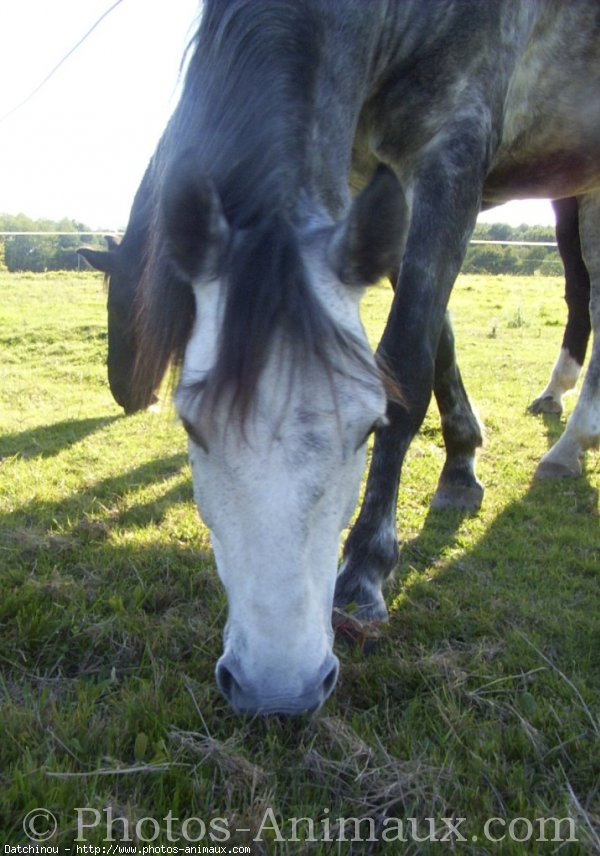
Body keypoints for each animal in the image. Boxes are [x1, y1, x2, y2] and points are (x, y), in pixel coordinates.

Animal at [102, 0, 596, 716]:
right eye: (191, 426)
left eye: (366, 428)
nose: (278, 692)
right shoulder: (373, 189)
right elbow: (436, 341)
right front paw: (462, 463)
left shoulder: (453, 155)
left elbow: (408, 359)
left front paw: (365, 574)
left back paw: (568, 441)